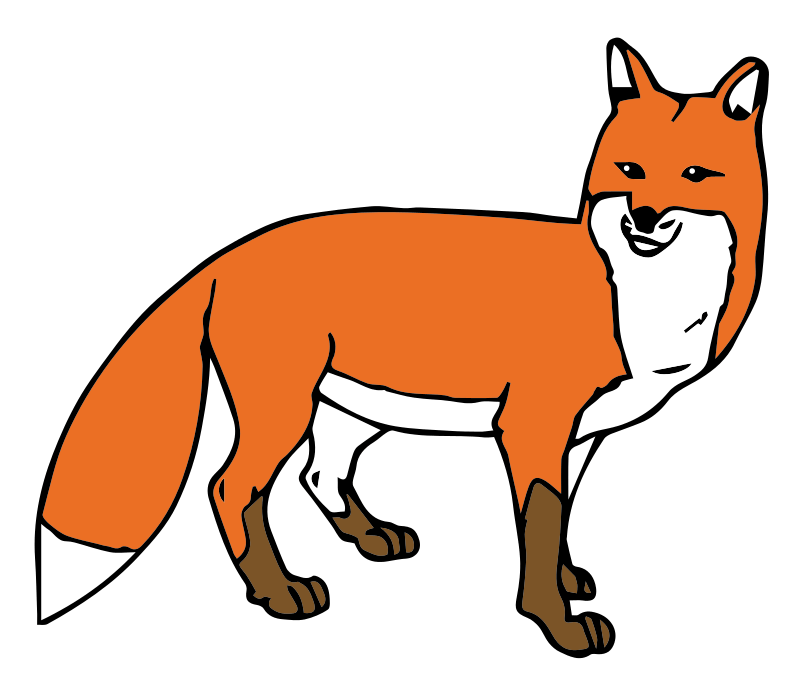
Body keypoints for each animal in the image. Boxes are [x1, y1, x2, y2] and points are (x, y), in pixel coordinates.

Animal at [36, 39, 767, 658]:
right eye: (630, 170)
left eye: (695, 175)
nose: (642, 217)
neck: (637, 300)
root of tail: (231, 253)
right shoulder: (532, 425)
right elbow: (538, 526)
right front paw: (555, 623)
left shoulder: (580, 436)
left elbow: (559, 520)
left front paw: (566, 581)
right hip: (284, 411)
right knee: (232, 488)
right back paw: (280, 593)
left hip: (350, 411)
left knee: (319, 475)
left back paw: (370, 537)